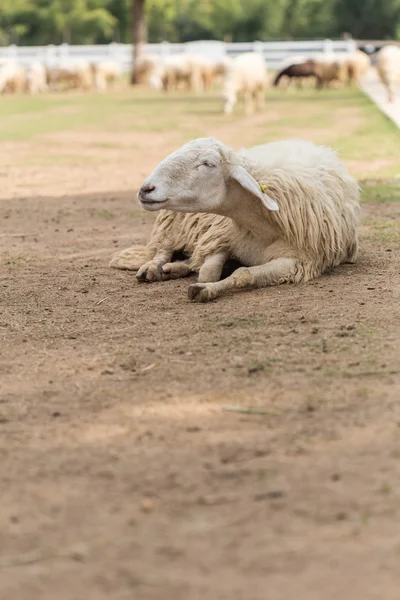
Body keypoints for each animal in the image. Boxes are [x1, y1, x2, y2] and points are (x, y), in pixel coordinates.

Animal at [111, 138, 360, 302]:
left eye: (208, 164)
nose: (145, 189)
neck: (261, 229)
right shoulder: (220, 238)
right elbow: (207, 271)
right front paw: (206, 282)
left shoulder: (298, 262)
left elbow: (243, 274)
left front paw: (207, 288)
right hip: (174, 221)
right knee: (163, 249)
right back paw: (154, 268)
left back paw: (173, 268)